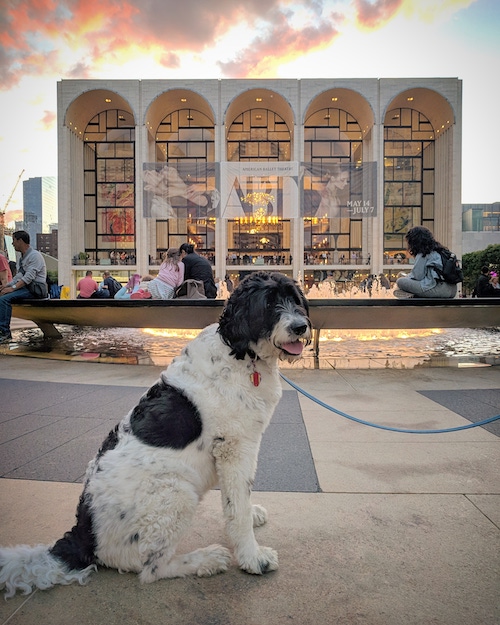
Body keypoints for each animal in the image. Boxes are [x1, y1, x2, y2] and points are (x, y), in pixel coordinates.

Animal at [0, 271, 311, 598]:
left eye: (294, 300)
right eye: (269, 304)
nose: (300, 326)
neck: (241, 354)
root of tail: (84, 535)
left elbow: (237, 498)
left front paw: (252, 515)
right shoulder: (234, 447)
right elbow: (236, 506)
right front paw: (253, 557)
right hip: (176, 491)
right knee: (151, 568)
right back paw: (206, 559)